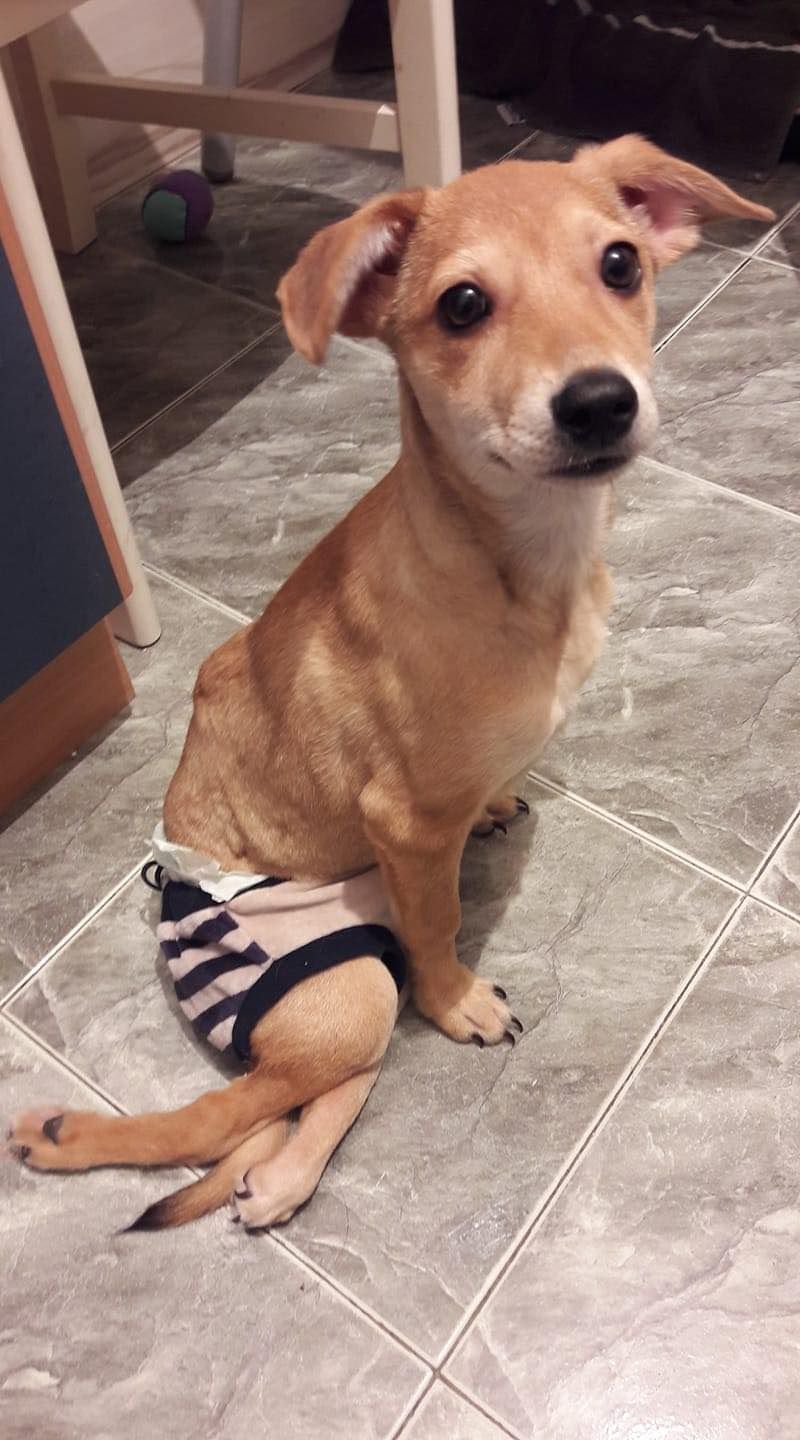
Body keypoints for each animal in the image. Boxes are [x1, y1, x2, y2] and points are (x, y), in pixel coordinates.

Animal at [8, 137, 771, 1231]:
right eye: (462, 305)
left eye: (621, 264)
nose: (599, 402)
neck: (517, 563)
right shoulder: (406, 825)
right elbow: (442, 924)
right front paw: (460, 1003)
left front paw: (494, 803)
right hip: (342, 987)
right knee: (219, 1113)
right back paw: (66, 1136)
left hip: (354, 982)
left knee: (300, 1095)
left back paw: (276, 1182)